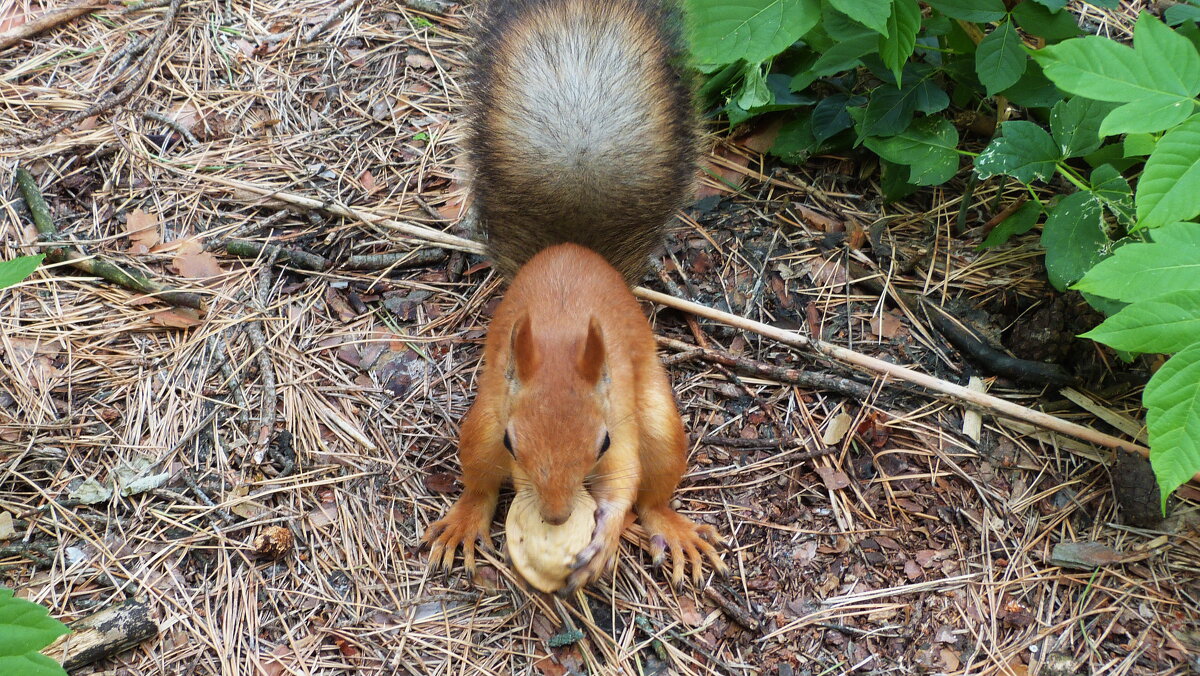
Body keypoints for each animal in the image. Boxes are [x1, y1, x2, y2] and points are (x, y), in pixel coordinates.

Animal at [424, 0, 729, 593]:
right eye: (514, 444)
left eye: (602, 442)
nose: (558, 516)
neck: (562, 339)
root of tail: (573, 248)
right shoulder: (494, 420)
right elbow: (480, 475)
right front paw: (475, 515)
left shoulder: (622, 422)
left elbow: (624, 483)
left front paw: (605, 536)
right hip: (480, 418)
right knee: (477, 471)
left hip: (658, 421)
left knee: (654, 492)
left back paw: (669, 526)